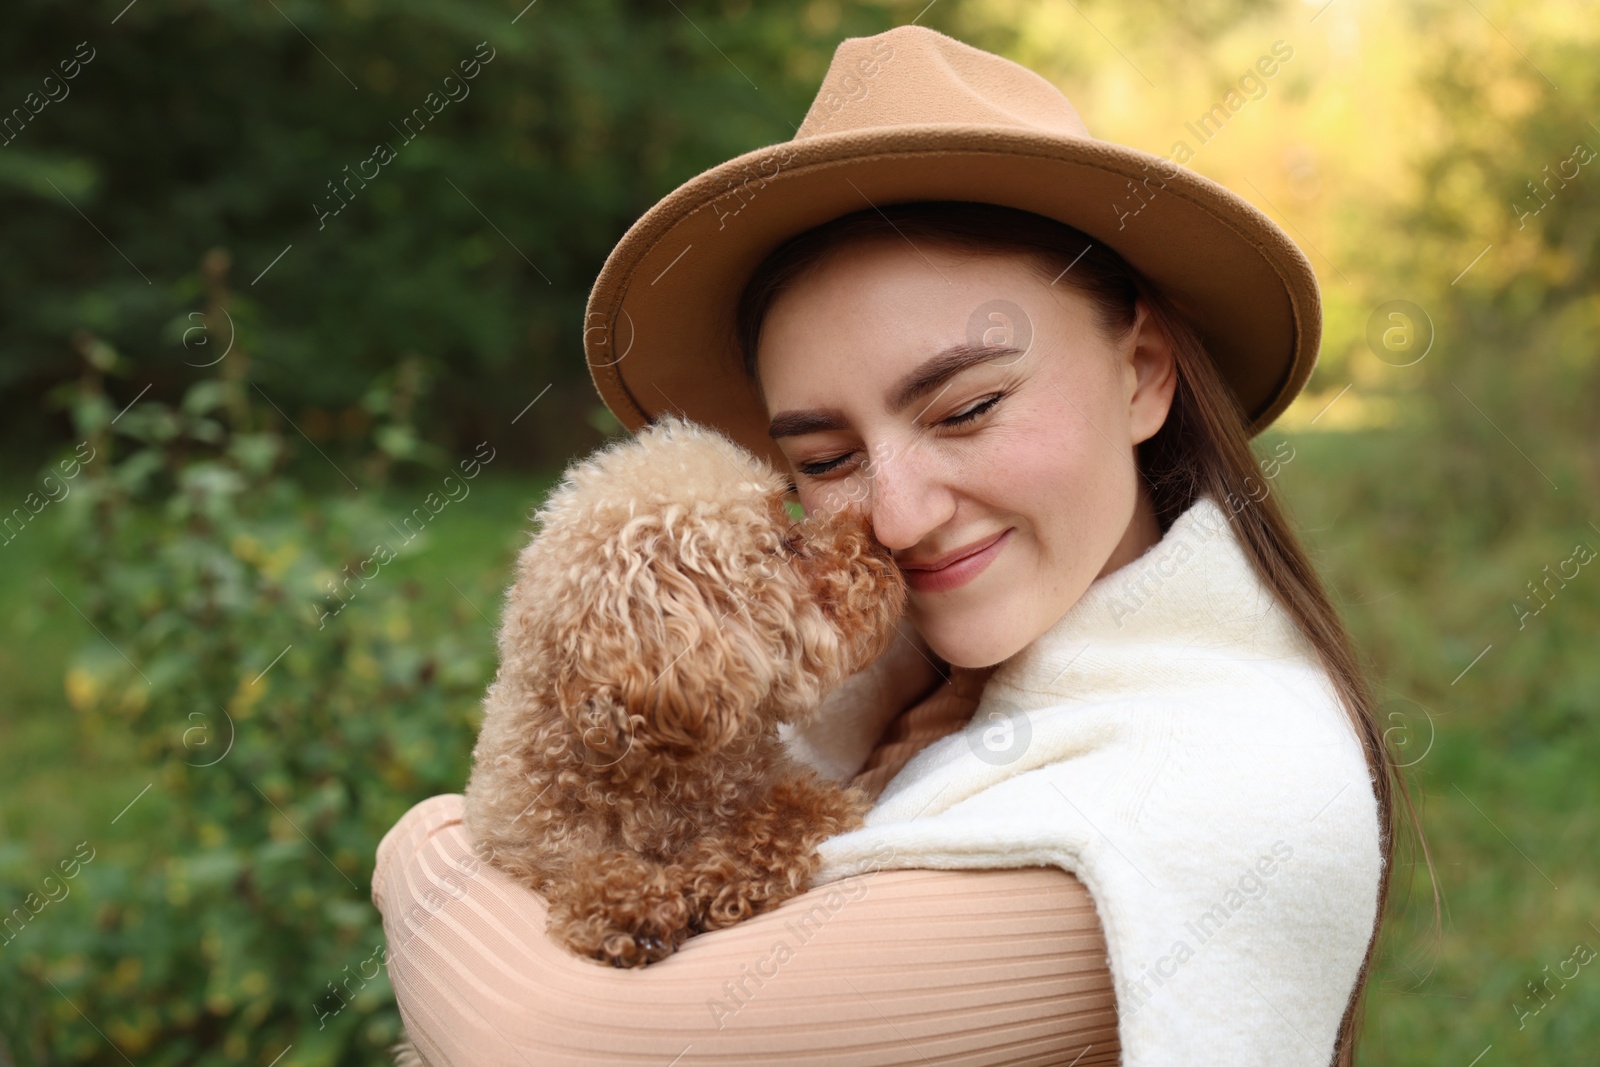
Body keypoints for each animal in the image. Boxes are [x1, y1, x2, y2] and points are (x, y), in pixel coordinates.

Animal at [464, 412, 915, 972]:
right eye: (786, 544)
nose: (880, 540)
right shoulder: (518, 847)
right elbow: (576, 865)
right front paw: (624, 905)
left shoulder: (813, 796)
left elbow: (781, 816)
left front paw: (713, 876)